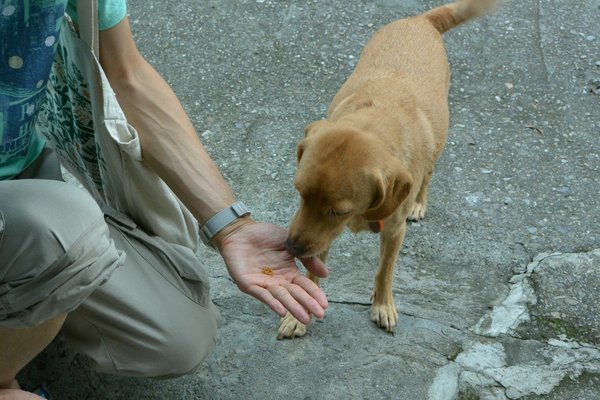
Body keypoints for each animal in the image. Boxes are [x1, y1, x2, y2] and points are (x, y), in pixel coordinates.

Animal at [282, 0, 496, 340]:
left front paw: (382, 305)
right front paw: (298, 315)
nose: (291, 247)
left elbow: (385, 271)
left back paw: (419, 203)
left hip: (437, 145)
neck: (375, 118)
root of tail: (420, 21)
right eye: (300, 194)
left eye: (337, 211)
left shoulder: (394, 231)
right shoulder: (316, 233)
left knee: (427, 177)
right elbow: (313, 274)